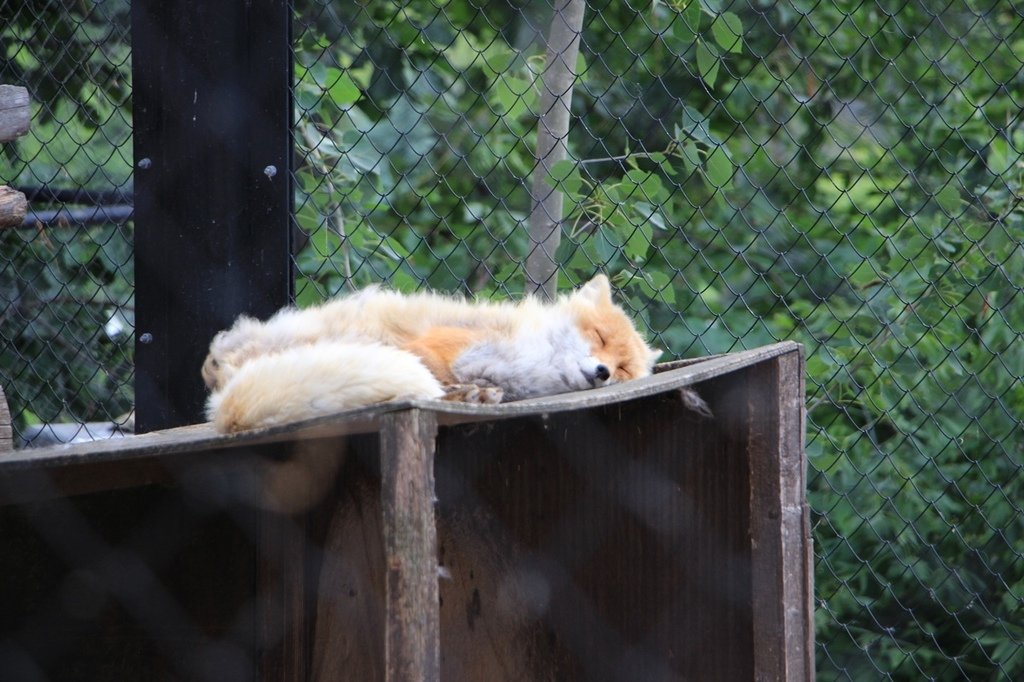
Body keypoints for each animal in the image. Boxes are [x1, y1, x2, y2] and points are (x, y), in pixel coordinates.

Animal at [201, 272, 663, 428]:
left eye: (624, 368)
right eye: (599, 337)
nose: (603, 373)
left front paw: (475, 393)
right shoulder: (433, 346)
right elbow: (435, 372)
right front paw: (458, 392)